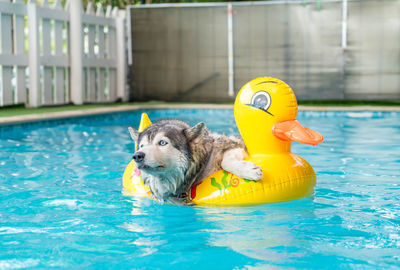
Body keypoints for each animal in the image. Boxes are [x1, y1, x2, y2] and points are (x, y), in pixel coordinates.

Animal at [128, 118, 264, 202]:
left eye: (162, 143)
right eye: (142, 146)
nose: (137, 156)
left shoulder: (234, 145)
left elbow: (225, 162)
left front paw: (249, 171)